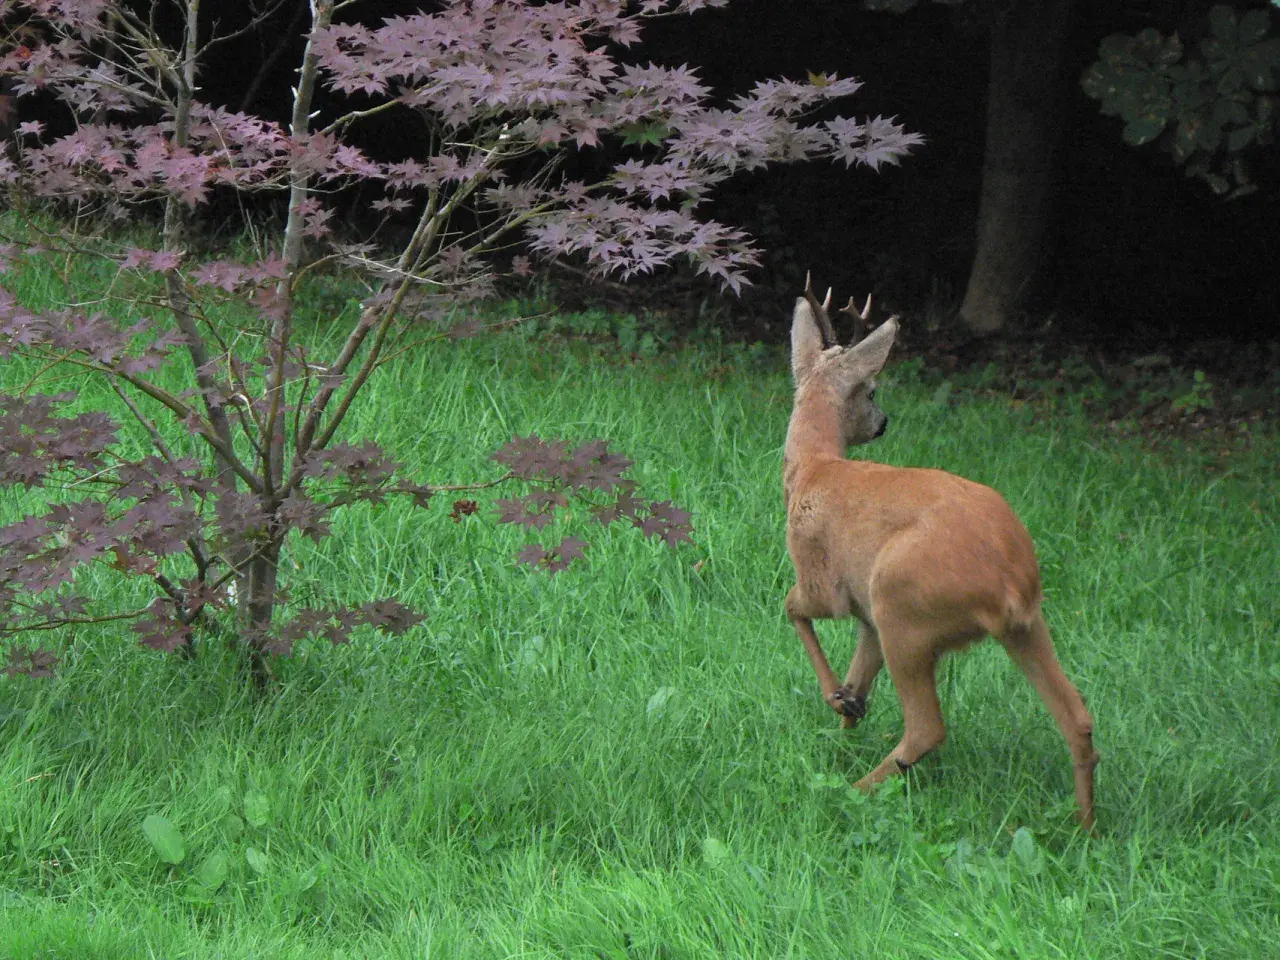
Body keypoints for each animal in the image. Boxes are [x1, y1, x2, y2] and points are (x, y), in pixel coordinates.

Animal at [782, 276, 1098, 830]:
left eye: (872, 389)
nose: (884, 422)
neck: (813, 467)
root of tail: (1010, 583)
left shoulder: (826, 583)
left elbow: (790, 606)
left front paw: (835, 703)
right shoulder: (867, 619)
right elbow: (859, 678)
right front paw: (845, 714)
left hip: (904, 608)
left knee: (927, 726)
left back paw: (852, 793)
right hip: (1025, 625)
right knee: (1077, 718)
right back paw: (1086, 829)